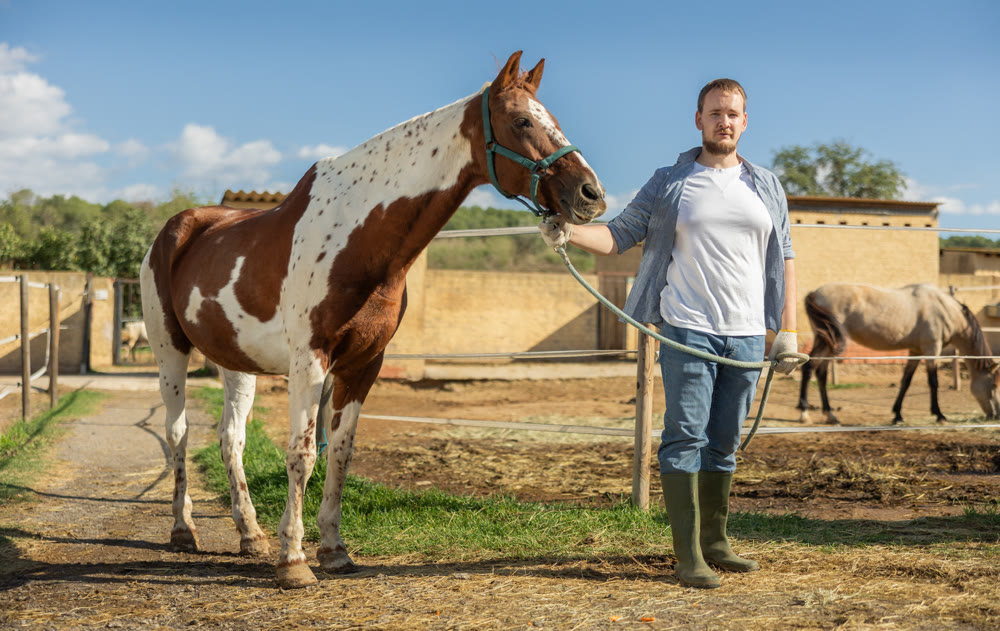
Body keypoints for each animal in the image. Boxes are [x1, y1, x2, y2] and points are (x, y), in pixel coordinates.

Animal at [140, 51, 606, 589]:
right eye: (521, 121)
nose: (592, 194)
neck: (355, 236)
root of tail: (177, 228)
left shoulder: (364, 364)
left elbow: (340, 454)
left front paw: (333, 550)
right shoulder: (309, 361)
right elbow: (302, 454)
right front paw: (293, 560)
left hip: (236, 363)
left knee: (229, 438)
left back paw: (249, 534)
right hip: (170, 354)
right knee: (178, 433)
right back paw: (183, 530)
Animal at [797, 282, 1000, 425]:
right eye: (993, 385)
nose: (996, 415)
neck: (945, 309)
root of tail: (815, 293)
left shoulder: (915, 351)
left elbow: (906, 381)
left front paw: (898, 415)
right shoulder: (932, 350)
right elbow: (933, 382)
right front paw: (940, 415)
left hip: (827, 342)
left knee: (820, 373)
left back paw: (830, 415)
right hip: (826, 341)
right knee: (810, 368)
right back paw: (804, 413)